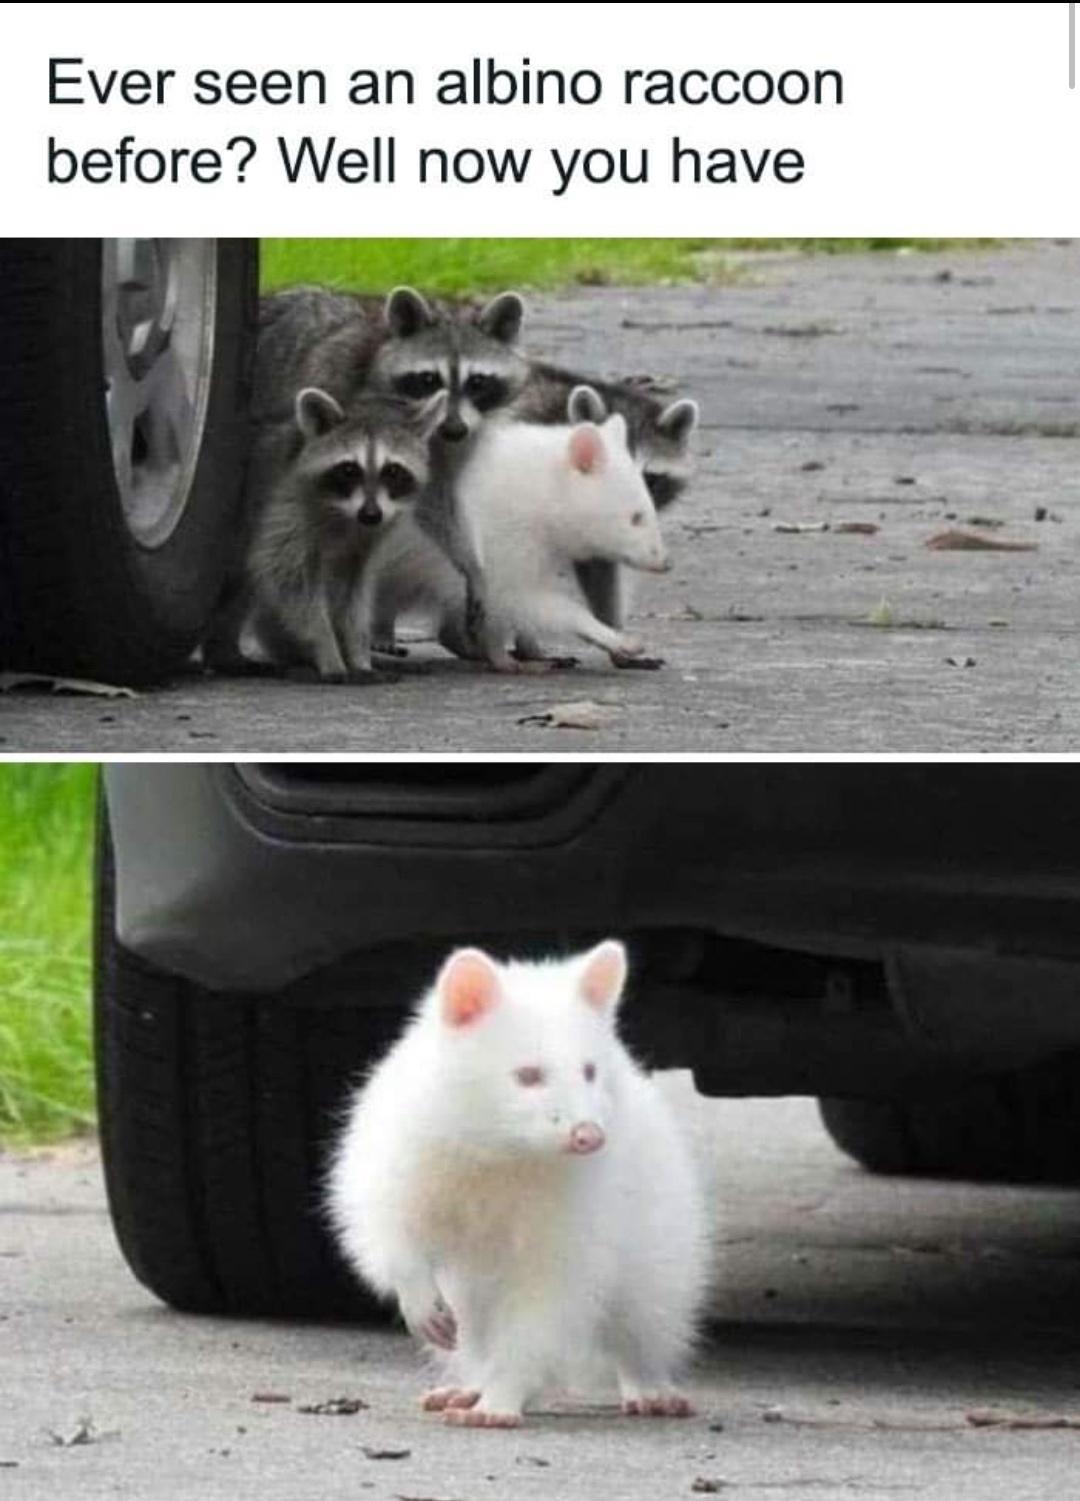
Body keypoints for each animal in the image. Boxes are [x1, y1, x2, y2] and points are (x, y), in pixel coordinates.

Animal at [244, 387, 446, 680]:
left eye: (393, 471)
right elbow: (288, 579)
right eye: (350, 470)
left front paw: (357, 652)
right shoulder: (288, 508)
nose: (370, 514)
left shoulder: (370, 535)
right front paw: (325, 647)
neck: (345, 514)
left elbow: (354, 591)